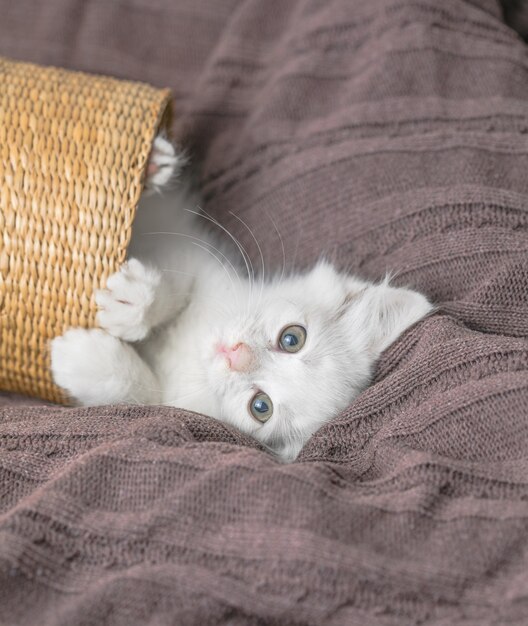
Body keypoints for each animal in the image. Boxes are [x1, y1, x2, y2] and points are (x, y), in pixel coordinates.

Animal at [50, 136, 434, 458]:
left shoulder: (173, 402)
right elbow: (174, 285)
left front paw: (83, 358)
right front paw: (134, 304)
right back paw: (153, 164)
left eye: (261, 407)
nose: (235, 354)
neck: (192, 348)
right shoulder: (194, 257)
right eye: (292, 338)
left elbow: (141, 395)